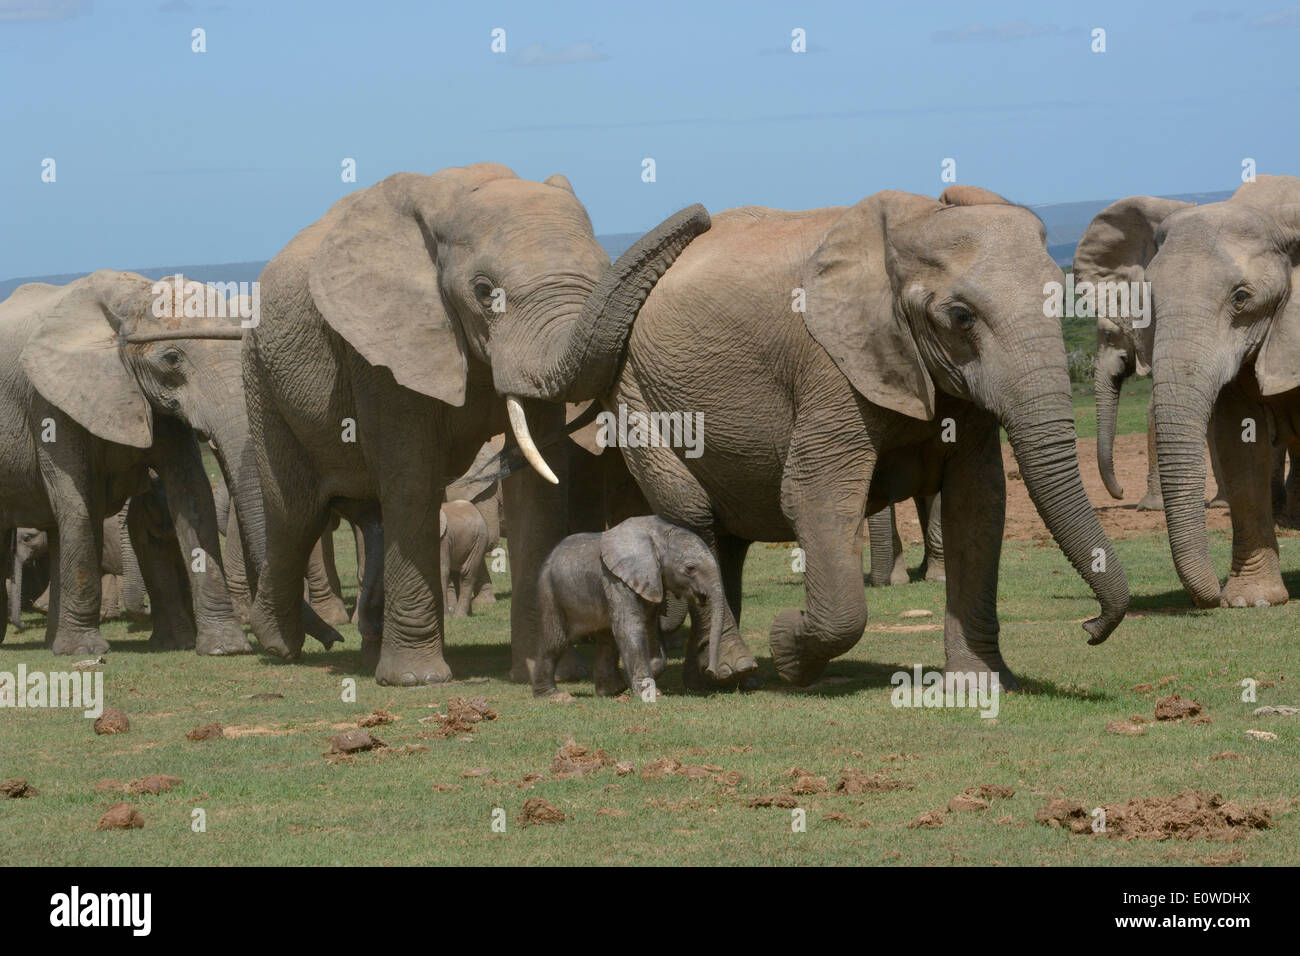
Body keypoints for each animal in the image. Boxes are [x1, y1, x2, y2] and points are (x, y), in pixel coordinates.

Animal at [0, 273, 260, 655]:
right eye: (172, 358)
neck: (128, 299)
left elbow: (192, 492)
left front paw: (225, 648)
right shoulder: (47, 401)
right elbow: (76, 501)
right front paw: (84, 652)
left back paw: (53, 643)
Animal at [241, 166, 712, 686]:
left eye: (599, 274)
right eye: (485, 291)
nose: (702, 214)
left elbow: (539, 488)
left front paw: (547, 672)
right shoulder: (381, 347)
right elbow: (412, 479)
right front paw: (416, 681)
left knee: (366, 518)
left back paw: (356, 650)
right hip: (262, 379)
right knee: (296, 513)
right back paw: (282, 645)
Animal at [533, 520, 728, 697]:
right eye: (690, 568)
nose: (711, 671)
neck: (659, 535)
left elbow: (649, 628)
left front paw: (646, 679)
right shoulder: (616, 580)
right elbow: (631, 627)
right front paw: (650, 694)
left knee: (607, 639)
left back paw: (612, 691)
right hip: (549, 590)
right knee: (555, 641)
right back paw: (555, 697)